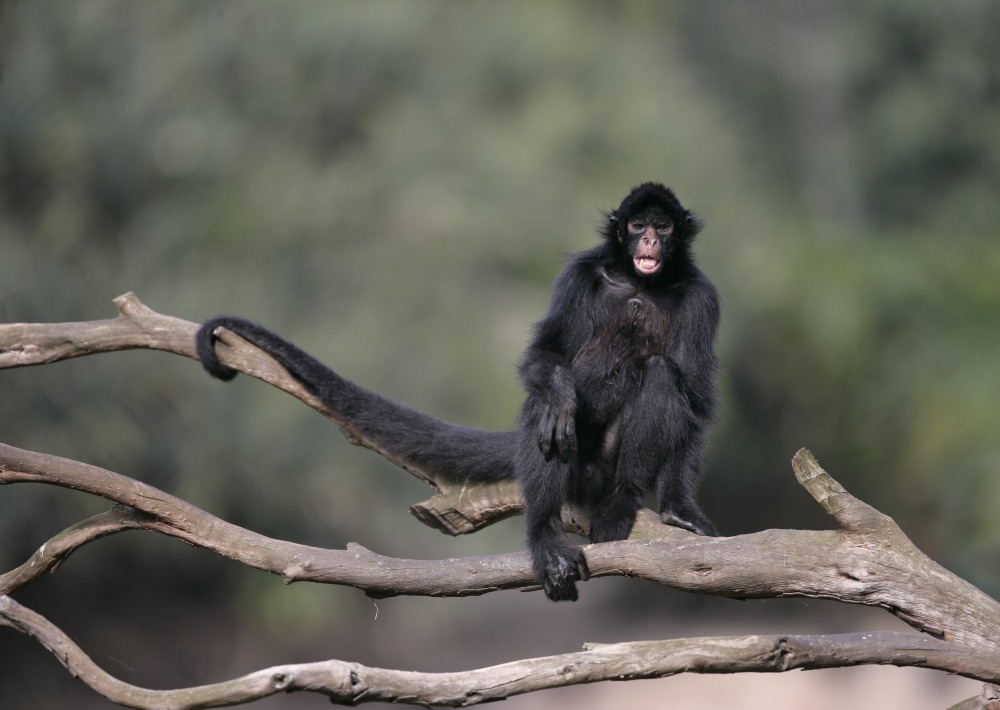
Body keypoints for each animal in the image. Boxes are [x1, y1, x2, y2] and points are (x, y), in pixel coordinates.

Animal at [199, 182, 720, 600]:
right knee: (549, 412)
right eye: (637, 225)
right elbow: (547, 357)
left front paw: (679, 510)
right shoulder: (581, 272)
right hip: (582, 470)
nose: (649, 239)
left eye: (663, 227)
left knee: (660, 374)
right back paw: (545, 536)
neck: (636, 283)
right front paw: (557, 398)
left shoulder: (701, 295)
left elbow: (696, 399)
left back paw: (620, 501)